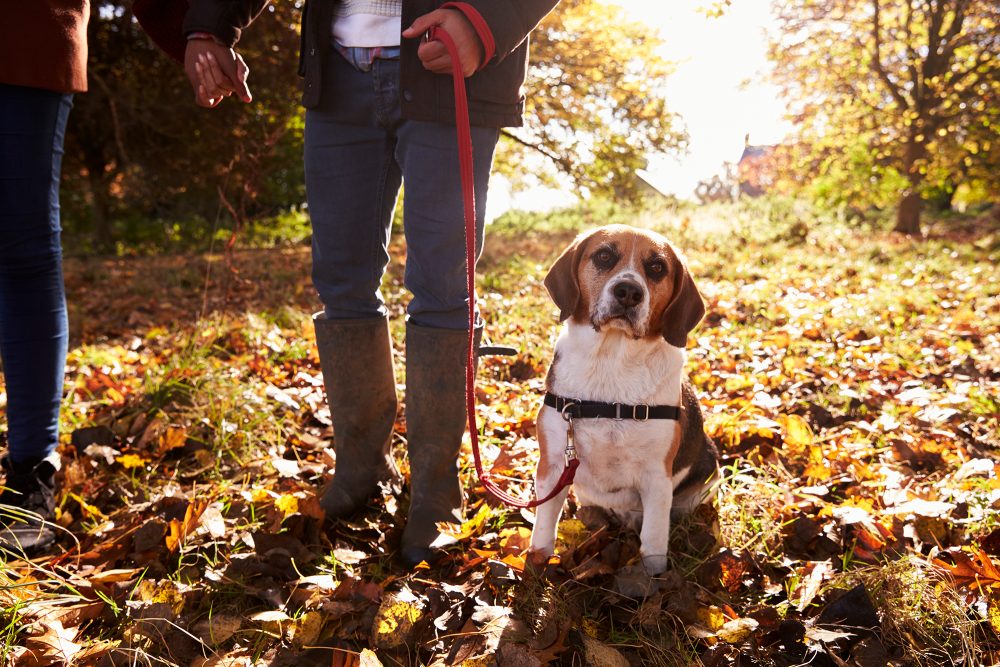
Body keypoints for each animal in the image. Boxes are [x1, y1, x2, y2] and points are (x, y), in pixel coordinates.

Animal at [524, 224, 720, 576]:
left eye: (657, 267)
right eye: (604, 256)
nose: (628, 291)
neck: (611, 361)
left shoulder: (657, 478)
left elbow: (653, 541)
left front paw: (653, 579)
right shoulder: (552, 465)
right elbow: (544, 526)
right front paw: (536, 566)